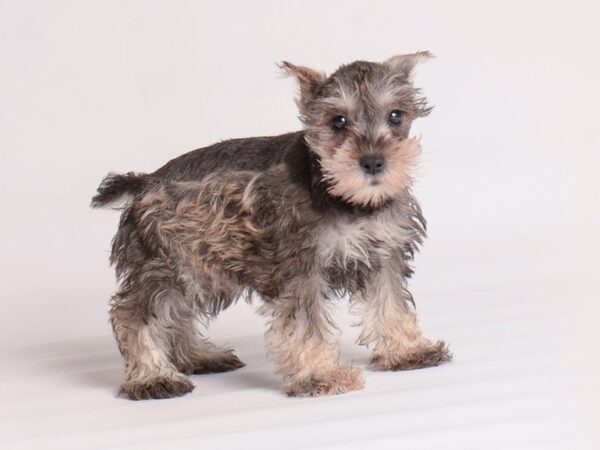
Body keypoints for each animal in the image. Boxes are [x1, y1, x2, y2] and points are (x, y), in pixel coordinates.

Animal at [92, 51, 450, 400]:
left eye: (396, 116)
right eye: (338, 121)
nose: (374, 161)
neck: (344, 197)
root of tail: (146, 181)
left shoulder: (384, 255)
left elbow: (391, 305)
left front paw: (409, 350)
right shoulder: (301, 268)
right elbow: (307, 327)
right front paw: (321, 374)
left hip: (203, 269)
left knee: (177, 314)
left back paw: (197, 357)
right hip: (171, 266)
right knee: (135, 314)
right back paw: (153, 377)